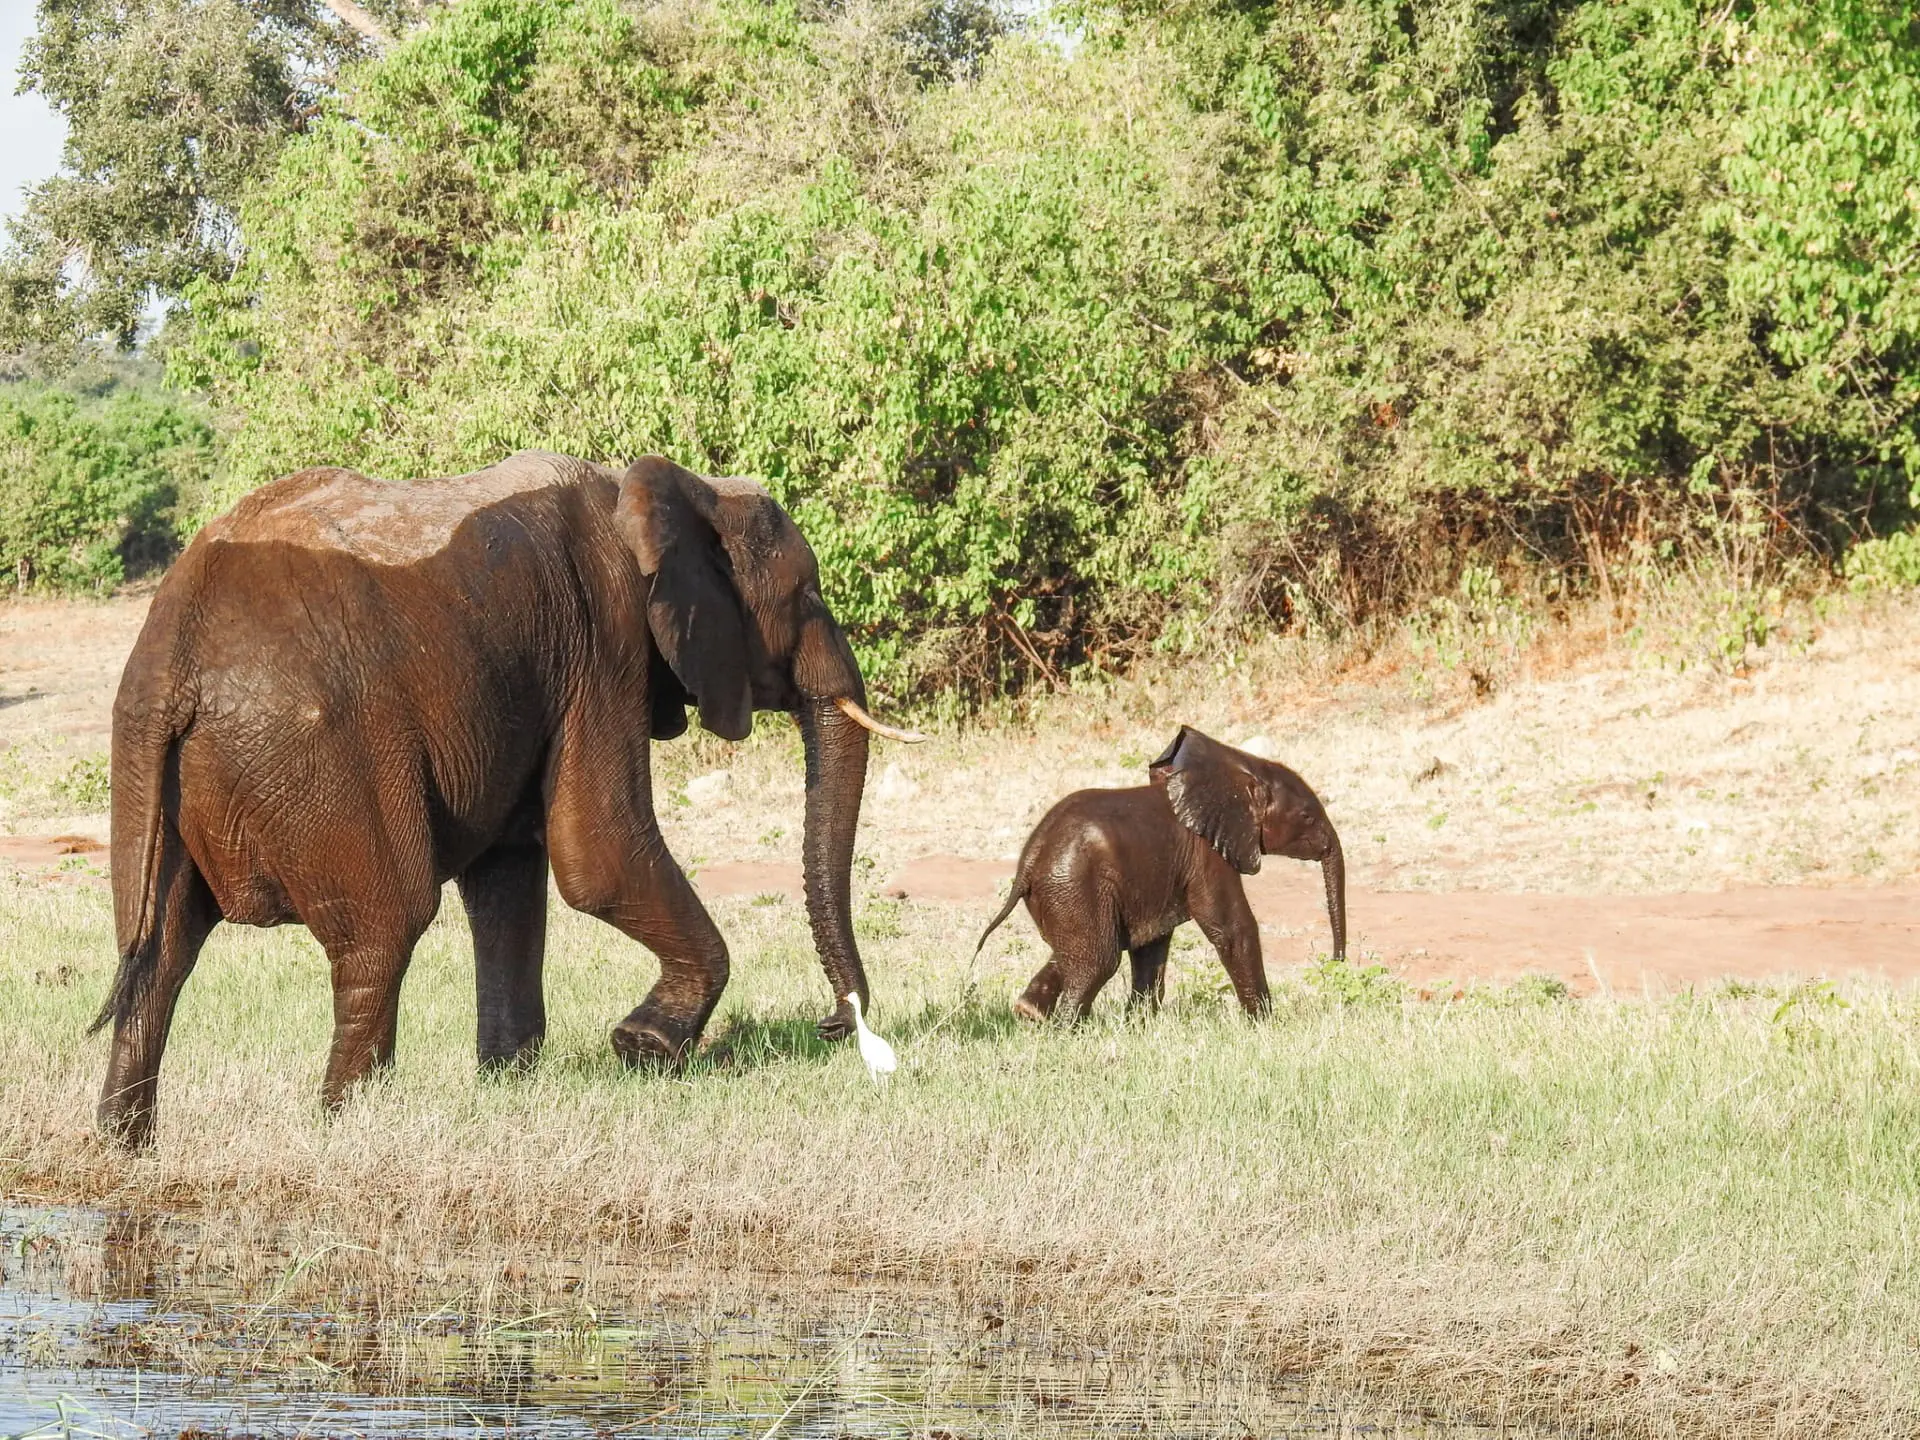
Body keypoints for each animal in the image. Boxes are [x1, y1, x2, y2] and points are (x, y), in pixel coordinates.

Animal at [93, 450, 919, 1147]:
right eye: (806, 593)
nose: (835, 1028)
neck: (667, 492)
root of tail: (172, 658)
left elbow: (510, 874)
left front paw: (511, 1085)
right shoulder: (604, 641)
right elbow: (597, 855)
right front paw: (644, 1046)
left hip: (162, 781)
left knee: (159, 954)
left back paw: (125, 1145)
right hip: (319, 762)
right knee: (383, 929)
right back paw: (351, 1133)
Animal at [975, 725, 1345, 1020]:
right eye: (1307, 816)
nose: (1336, 964)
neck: (1239, 771)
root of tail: (1029, 859)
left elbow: (1151, 944)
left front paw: (1138, 1024)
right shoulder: (1206, 854)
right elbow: (1232, 929)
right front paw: (1266, 1024)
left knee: (1081, 950)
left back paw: (1030, 1014)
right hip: (1074, 884)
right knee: (1098, 960)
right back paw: (1066, 1028)